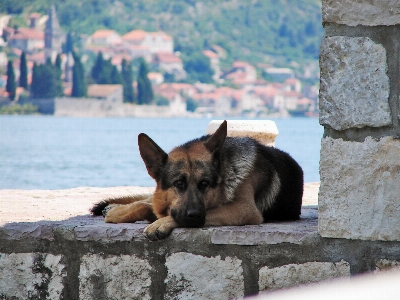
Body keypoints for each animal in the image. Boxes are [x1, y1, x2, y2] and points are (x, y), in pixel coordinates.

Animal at [90, 120, 304, 240]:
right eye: (178, 184)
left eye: (205, 184)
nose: (194, 215)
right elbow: (149, 205)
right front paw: (119, 211)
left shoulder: (244, 209)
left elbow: (204, 212)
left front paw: (161, 223)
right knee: (146, 200)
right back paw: (114, 208)